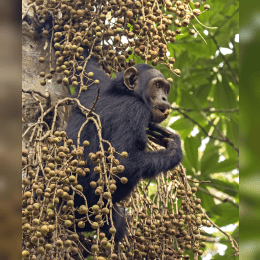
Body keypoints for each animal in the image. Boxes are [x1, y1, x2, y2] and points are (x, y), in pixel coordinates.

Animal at [65, 56, 183, 242]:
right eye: (157, 85)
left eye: (165, 88)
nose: (164, 98)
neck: (126, 93)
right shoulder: (134, 111)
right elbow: (123, 164)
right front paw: (174, 149)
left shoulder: (96, 85)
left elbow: (82, 63)